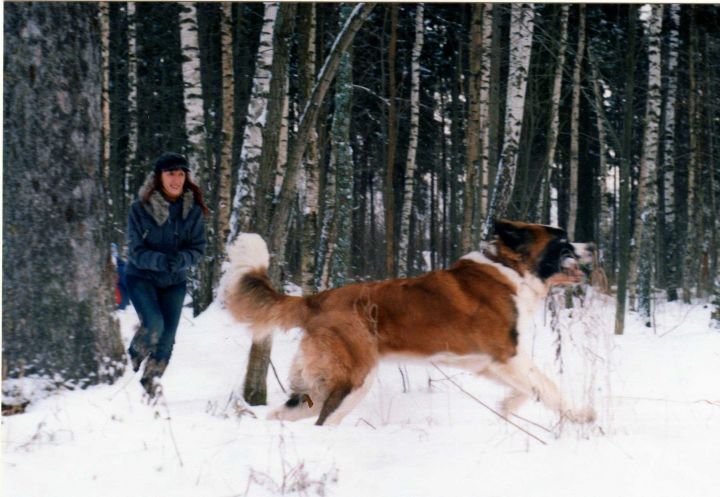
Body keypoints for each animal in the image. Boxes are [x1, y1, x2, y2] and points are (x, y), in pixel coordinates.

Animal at [221, 219, 596, 424]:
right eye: (563, 243)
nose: (592, 245)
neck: (511, 268)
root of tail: (316, 299)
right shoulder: (508, 355)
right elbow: (547, 386)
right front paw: (582, 417)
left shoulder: (489, 362)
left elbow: (528, 390)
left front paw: (506, 409)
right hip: (352, 382)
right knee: (323, 421)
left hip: (317, 387)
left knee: (285, 413)